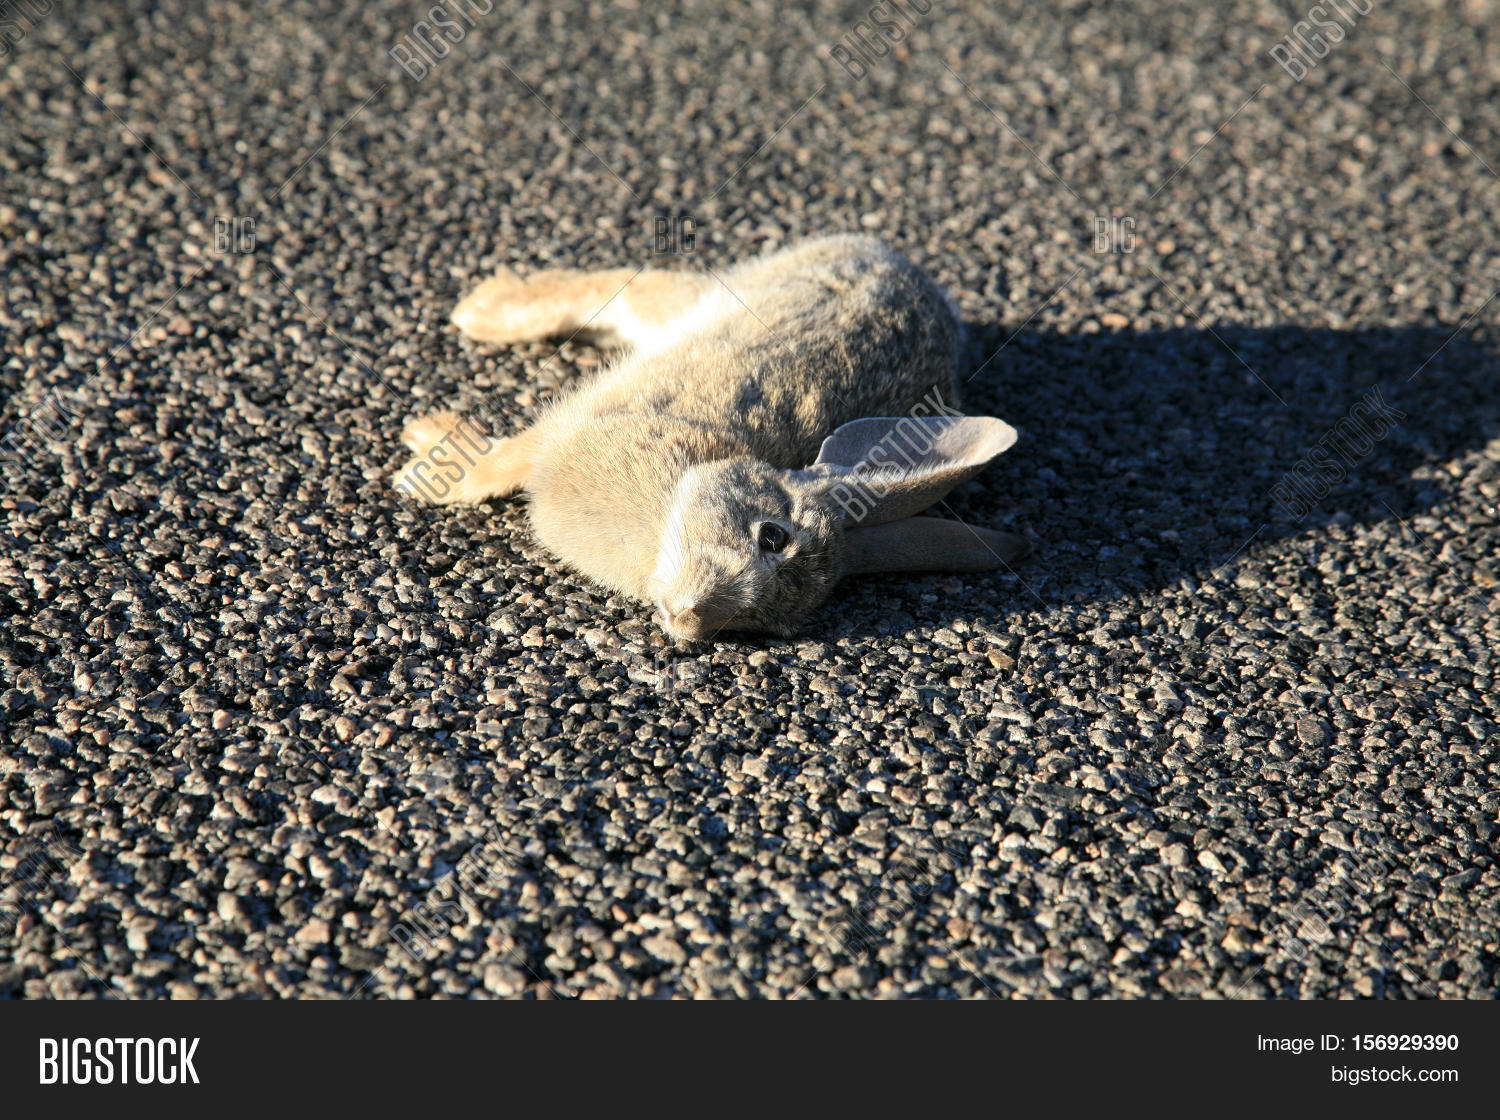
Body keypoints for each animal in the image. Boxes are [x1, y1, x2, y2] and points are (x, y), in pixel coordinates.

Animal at [394, 234, 1026, 640]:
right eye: (772, 536)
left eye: (767, 626)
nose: (691, 623)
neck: (682, 488)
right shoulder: (576, 424)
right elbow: (495, 465)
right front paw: (426, 463)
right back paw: (483, 309)